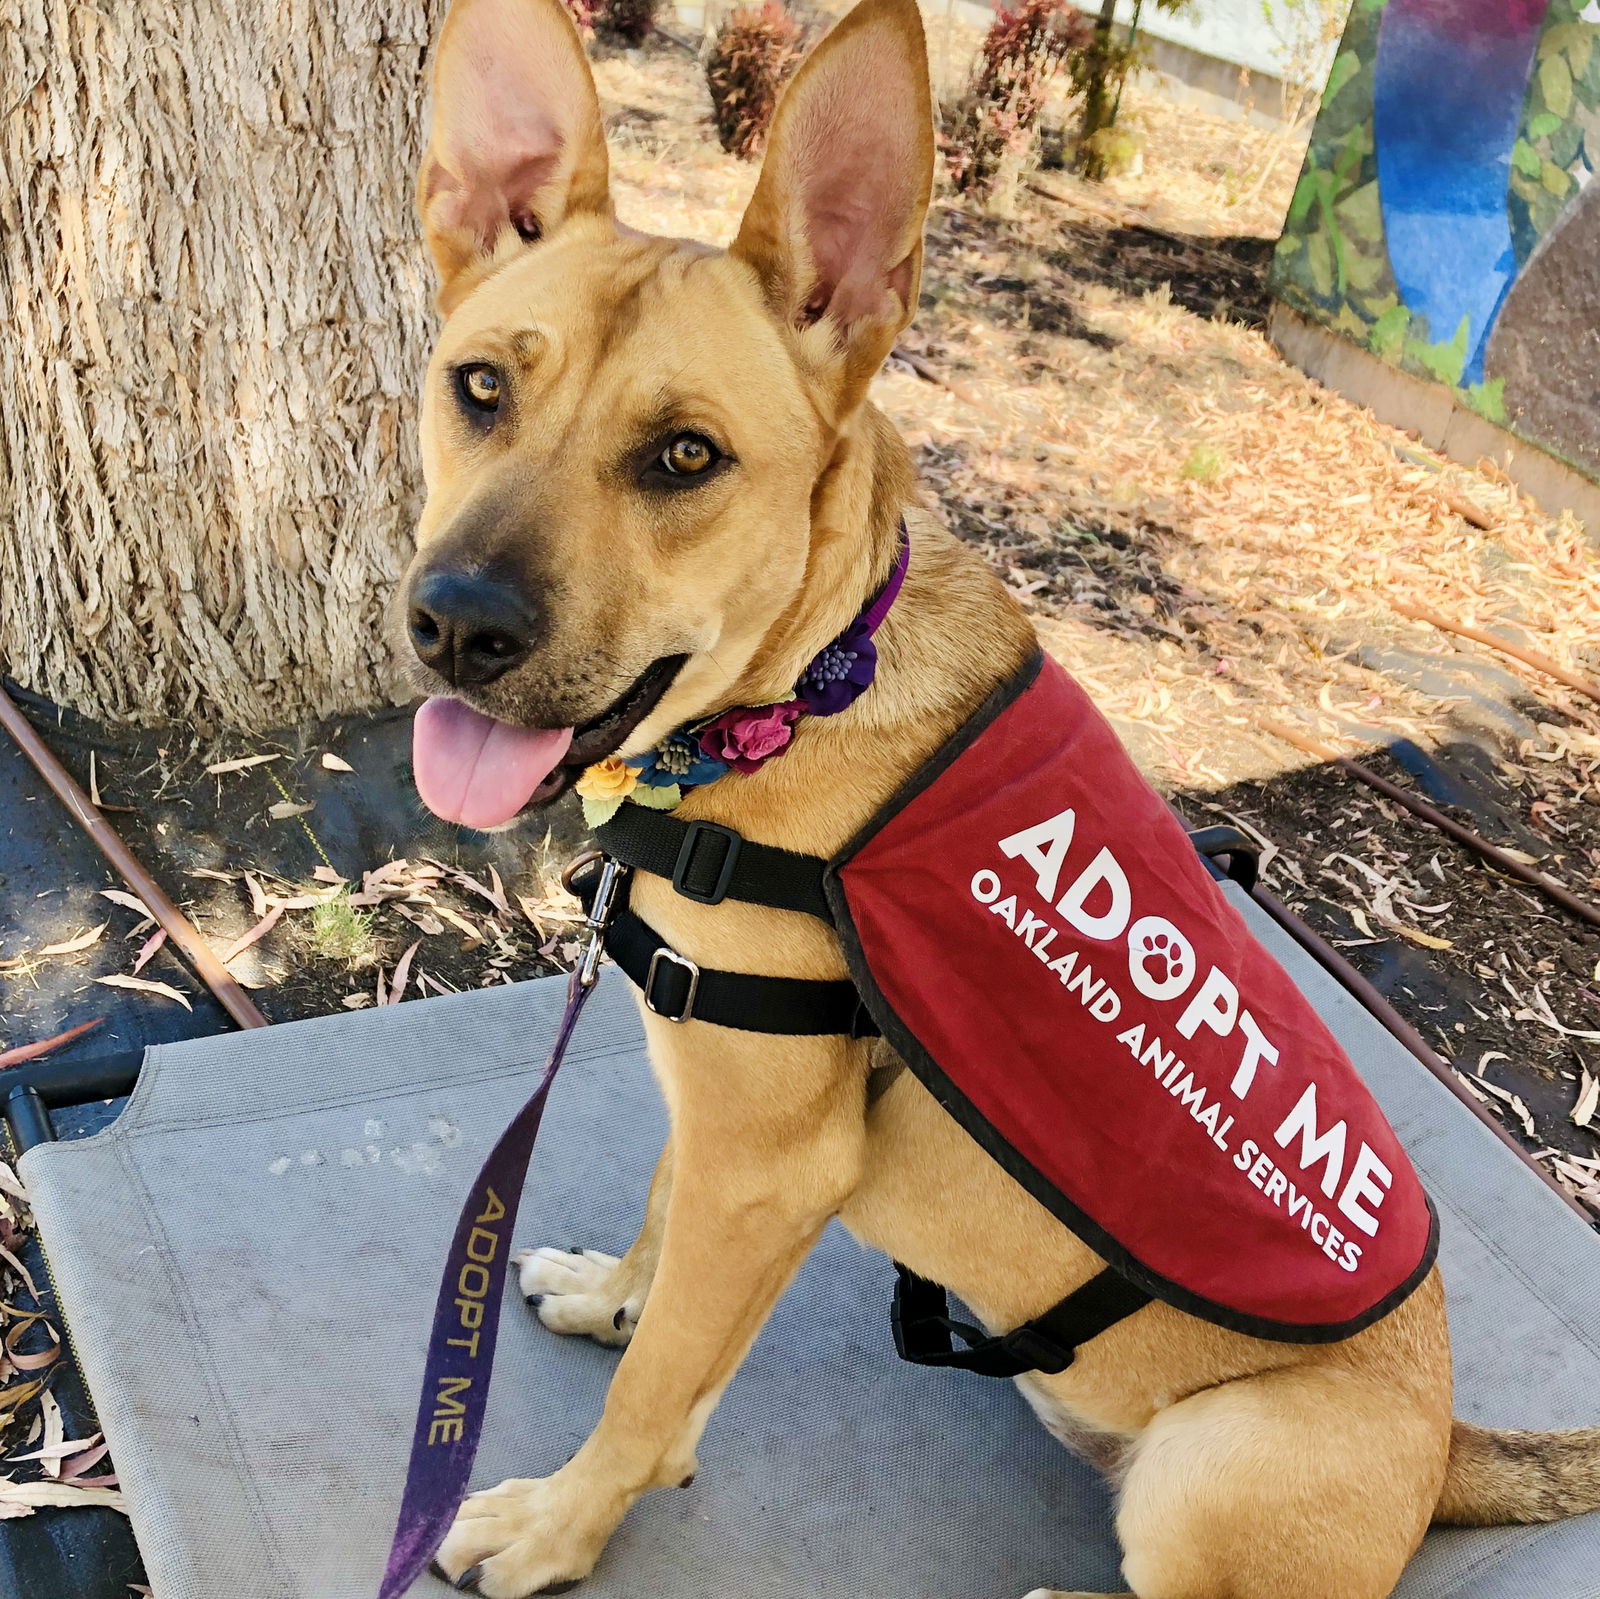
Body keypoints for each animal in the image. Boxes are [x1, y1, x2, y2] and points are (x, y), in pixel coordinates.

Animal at [393, 3, 1600, 1599]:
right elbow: (665, 1256)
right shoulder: (728, 1126)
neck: (797, 694)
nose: (455, 625)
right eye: (481, 386)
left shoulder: (768, 1163)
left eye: (686, 457)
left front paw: (559, 1523)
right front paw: (615, 1295)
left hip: (1221, 1459)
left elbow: (656, 1395)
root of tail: (1449, 1449)